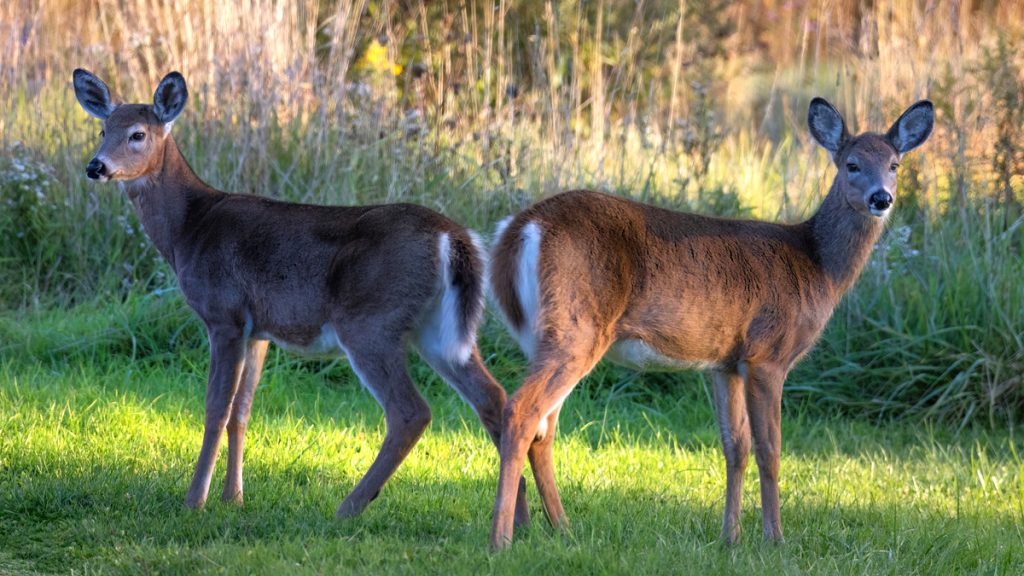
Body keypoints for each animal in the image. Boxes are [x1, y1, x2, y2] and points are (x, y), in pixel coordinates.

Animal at [71, 68, 528, 520]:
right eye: (102, 129)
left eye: (138, 134)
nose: (96, 166)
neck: (190, 229)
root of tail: (453, 237)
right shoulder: (258, 330)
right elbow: (242, 410)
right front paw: (233, 497)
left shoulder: (224, 314)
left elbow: (216, 407)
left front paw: (195, 500)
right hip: (439, 329)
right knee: (492, 396)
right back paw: (520, 517)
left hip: (369, 321)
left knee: (411, 412)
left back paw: (349, 507)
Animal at [487, 96, 937, 545]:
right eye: (851, 164)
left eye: (895, 164)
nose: (881, 198)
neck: (816, 264)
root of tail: (520, 228)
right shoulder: (767, 354)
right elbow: (770, 450)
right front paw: (774, 538)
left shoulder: (726, 363)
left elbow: (735, 446)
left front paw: (730, 537)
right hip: (577, 326)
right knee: (521, 411)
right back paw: (501, 538)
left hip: (548, 335)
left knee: (542, 429)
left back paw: (562, 528)